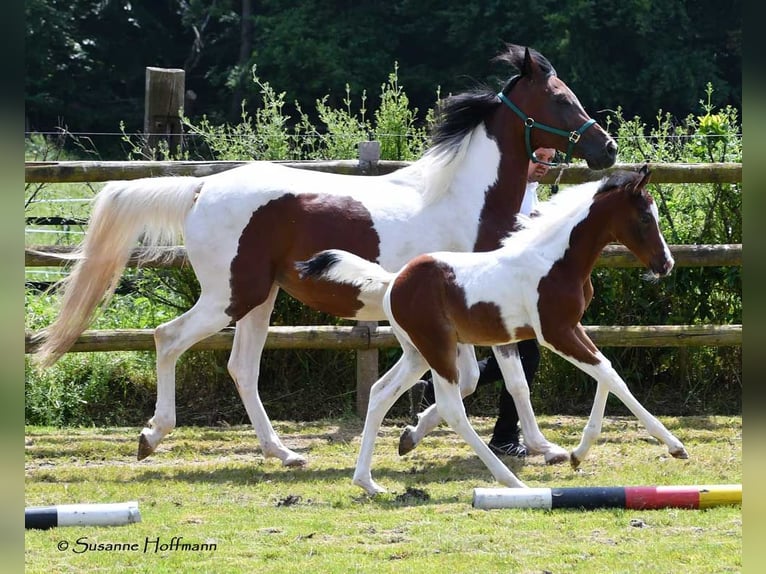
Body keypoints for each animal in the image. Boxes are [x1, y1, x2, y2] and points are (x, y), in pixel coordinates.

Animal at [32, 44, 617, 466]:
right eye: (561, 99)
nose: (606, 148)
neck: (464, 201)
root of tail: (201, 189)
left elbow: (495, 378)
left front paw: (525, 445)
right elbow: (490, 378)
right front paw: (428, 436)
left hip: (260, 300)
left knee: (242, 366)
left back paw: (284, 453)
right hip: (231, 296)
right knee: (168, 338)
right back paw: (152, 436)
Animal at [296, 165, 688, 495]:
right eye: (644, 217)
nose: (666, 263)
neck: (554, 261)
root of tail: (393, 281)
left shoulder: (571, 328)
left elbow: (605, 373)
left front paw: (578, 453)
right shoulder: (556, 333)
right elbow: (609, 373)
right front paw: (674, 446)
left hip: (417, 353)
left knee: (380, 392)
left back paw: (367, 481)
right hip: (437, 349)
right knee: (452, 408)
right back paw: (509, 479)